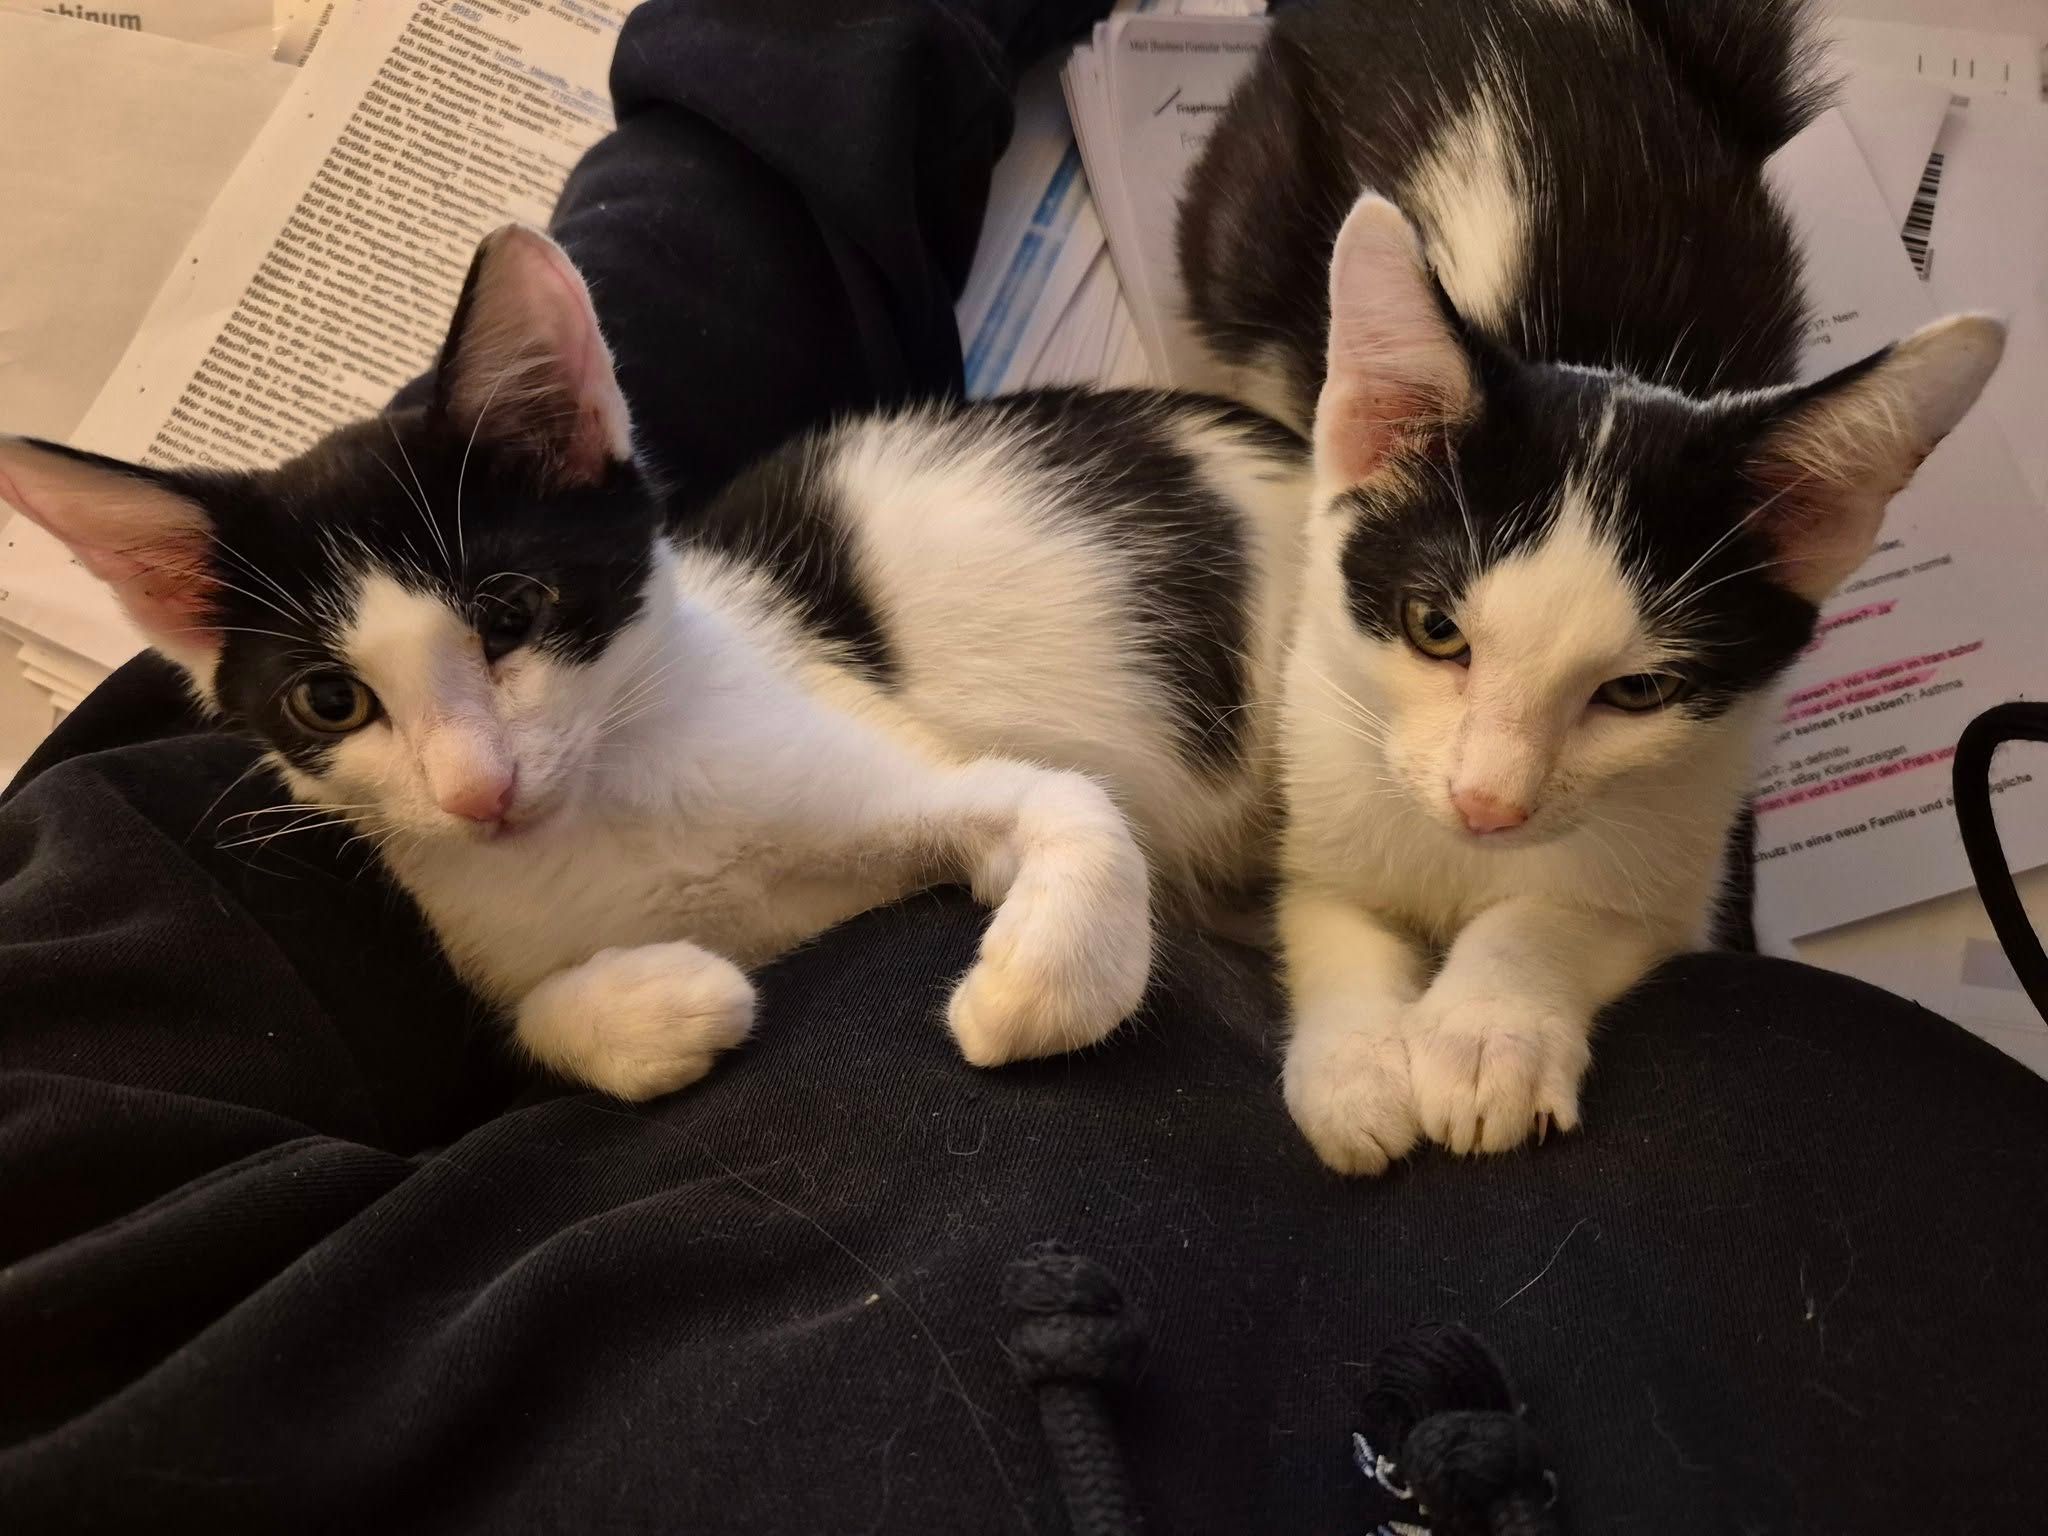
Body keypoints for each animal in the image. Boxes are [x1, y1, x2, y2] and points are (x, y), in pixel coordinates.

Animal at [0, 225, 1310, 1101]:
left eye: (510, 613)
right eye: (331, 700)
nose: (476, 792)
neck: (619, 809)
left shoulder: (873, 741)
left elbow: (1068, 802)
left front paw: (1028, 994)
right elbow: (523, 1020)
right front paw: (654, 1006)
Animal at [1176, 0, 2006, 1171]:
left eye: (1637, 692)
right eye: (1436, 630)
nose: (1485, 806)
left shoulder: (1703, 818)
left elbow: (1576, 912)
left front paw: (1487, 1032)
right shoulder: (1322, 734)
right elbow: (1332, 913)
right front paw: (1357, 1064)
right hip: (1243, 220)